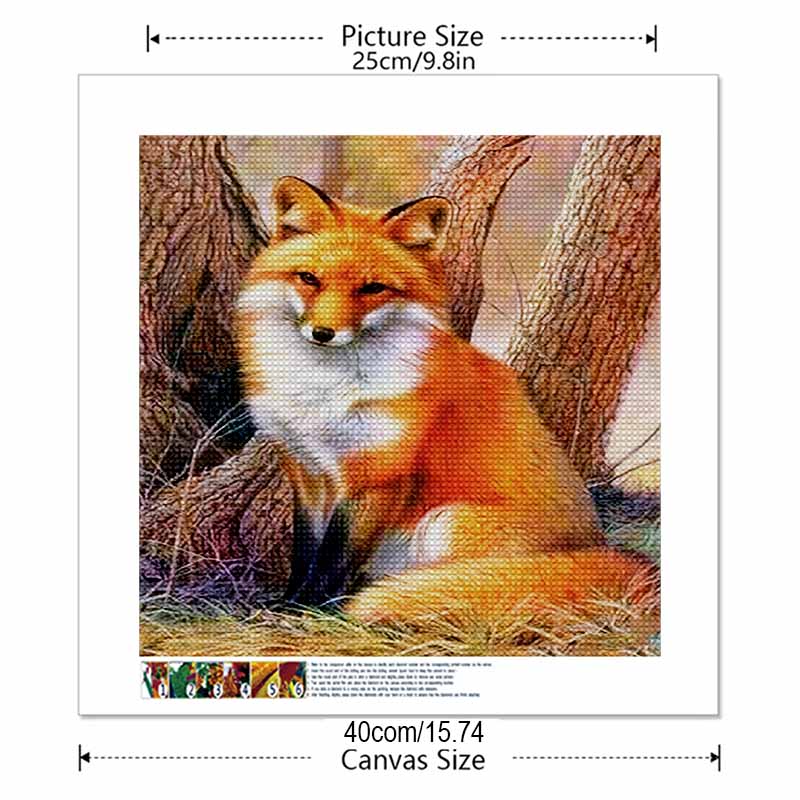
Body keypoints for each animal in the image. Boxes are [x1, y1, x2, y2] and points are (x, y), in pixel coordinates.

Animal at [235, 176, 657, 626]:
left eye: (372, 288)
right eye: (309, 278)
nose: (323, 333)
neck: (321, 388)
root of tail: (599, 546)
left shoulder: (380, 474)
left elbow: (333, 558)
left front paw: (308, 611)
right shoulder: (307, 471)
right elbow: (306, 553)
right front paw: (288, 602)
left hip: (446, 522)